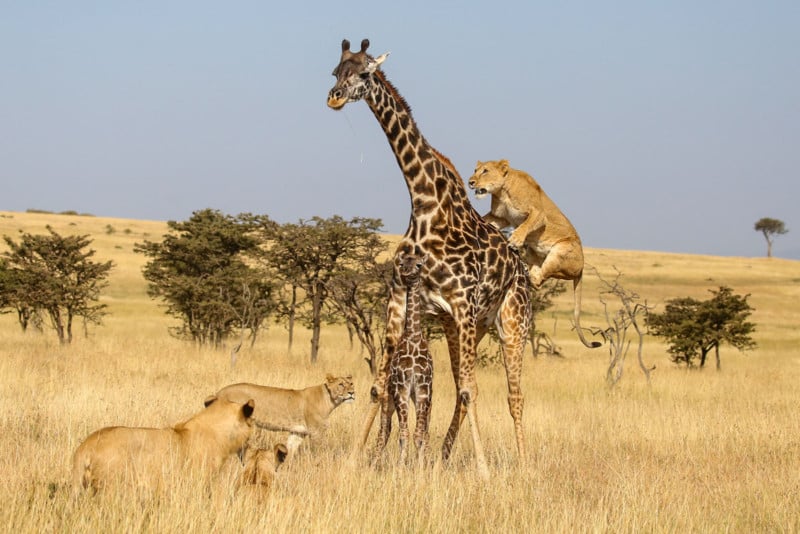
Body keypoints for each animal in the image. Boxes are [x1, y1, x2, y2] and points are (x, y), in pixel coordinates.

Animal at [378, 251, 434, 464]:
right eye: (402, 264)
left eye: (419, 265)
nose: (407, 273)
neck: (413, 336)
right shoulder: (401, 388)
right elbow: (404, 434)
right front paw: (401, 467)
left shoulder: (423, 389)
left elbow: (419, 434)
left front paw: (421, 466)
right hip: (388, 400)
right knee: (384, 431)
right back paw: (375, 461)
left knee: (424, 432)